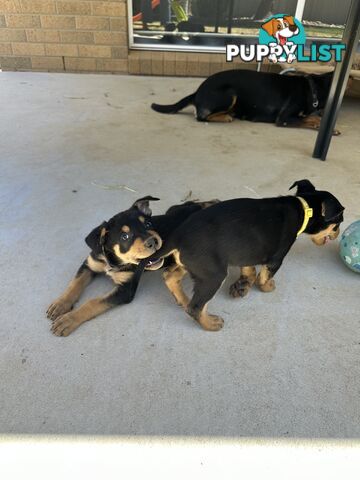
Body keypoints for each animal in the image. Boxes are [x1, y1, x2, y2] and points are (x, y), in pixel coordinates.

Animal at [46, 194, 218, 334]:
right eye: (125, 236)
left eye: (148, 224)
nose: (154, 242)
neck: (112, 261)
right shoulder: (89, 264)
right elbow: (74, 284)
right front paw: (60, 305)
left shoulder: (125, 290)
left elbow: (92, 302)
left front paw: (68, 320)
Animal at [148, 178, 344, 332]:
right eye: (338, 223)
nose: (338, 234)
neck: (304, 209)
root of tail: (177, 236)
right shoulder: (276, 259)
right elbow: (264, 276)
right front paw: (268, 287)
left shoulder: (247, 250)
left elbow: (249, 269)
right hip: (213, 274)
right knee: (195, 307)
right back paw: (211, 323)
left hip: (193, 265)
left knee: (170, 277)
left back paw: (183, 300)